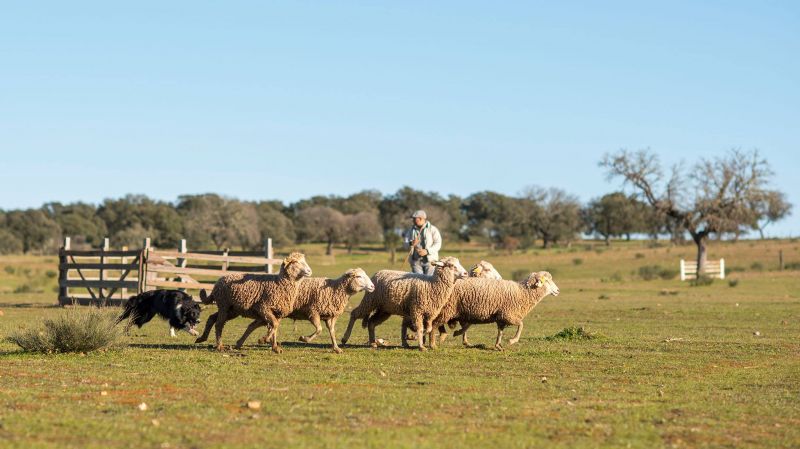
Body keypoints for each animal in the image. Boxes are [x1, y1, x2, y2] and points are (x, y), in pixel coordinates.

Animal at [236, 268, 376, 352]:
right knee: (262, 326)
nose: (372, 286)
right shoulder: (313, 312)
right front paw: (304, 338)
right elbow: (319, 330)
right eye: (358, 276)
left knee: (253, 325)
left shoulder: (330, 316)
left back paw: (241, 343)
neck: (335, 290)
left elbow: (332, 332)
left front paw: (336, 348)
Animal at [340, 256, 468, 350]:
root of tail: (379, 272)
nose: (466, 273)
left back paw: (372, 343)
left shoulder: (430, 314)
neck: (431, 285)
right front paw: (420, 345)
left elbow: (428, 329)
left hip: (384, 309)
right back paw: (345, 338)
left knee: (371, 322)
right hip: (370, 300)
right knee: (355, 314)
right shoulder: (416, 310)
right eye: (452, 266)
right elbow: (420, 328)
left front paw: (413, 337)